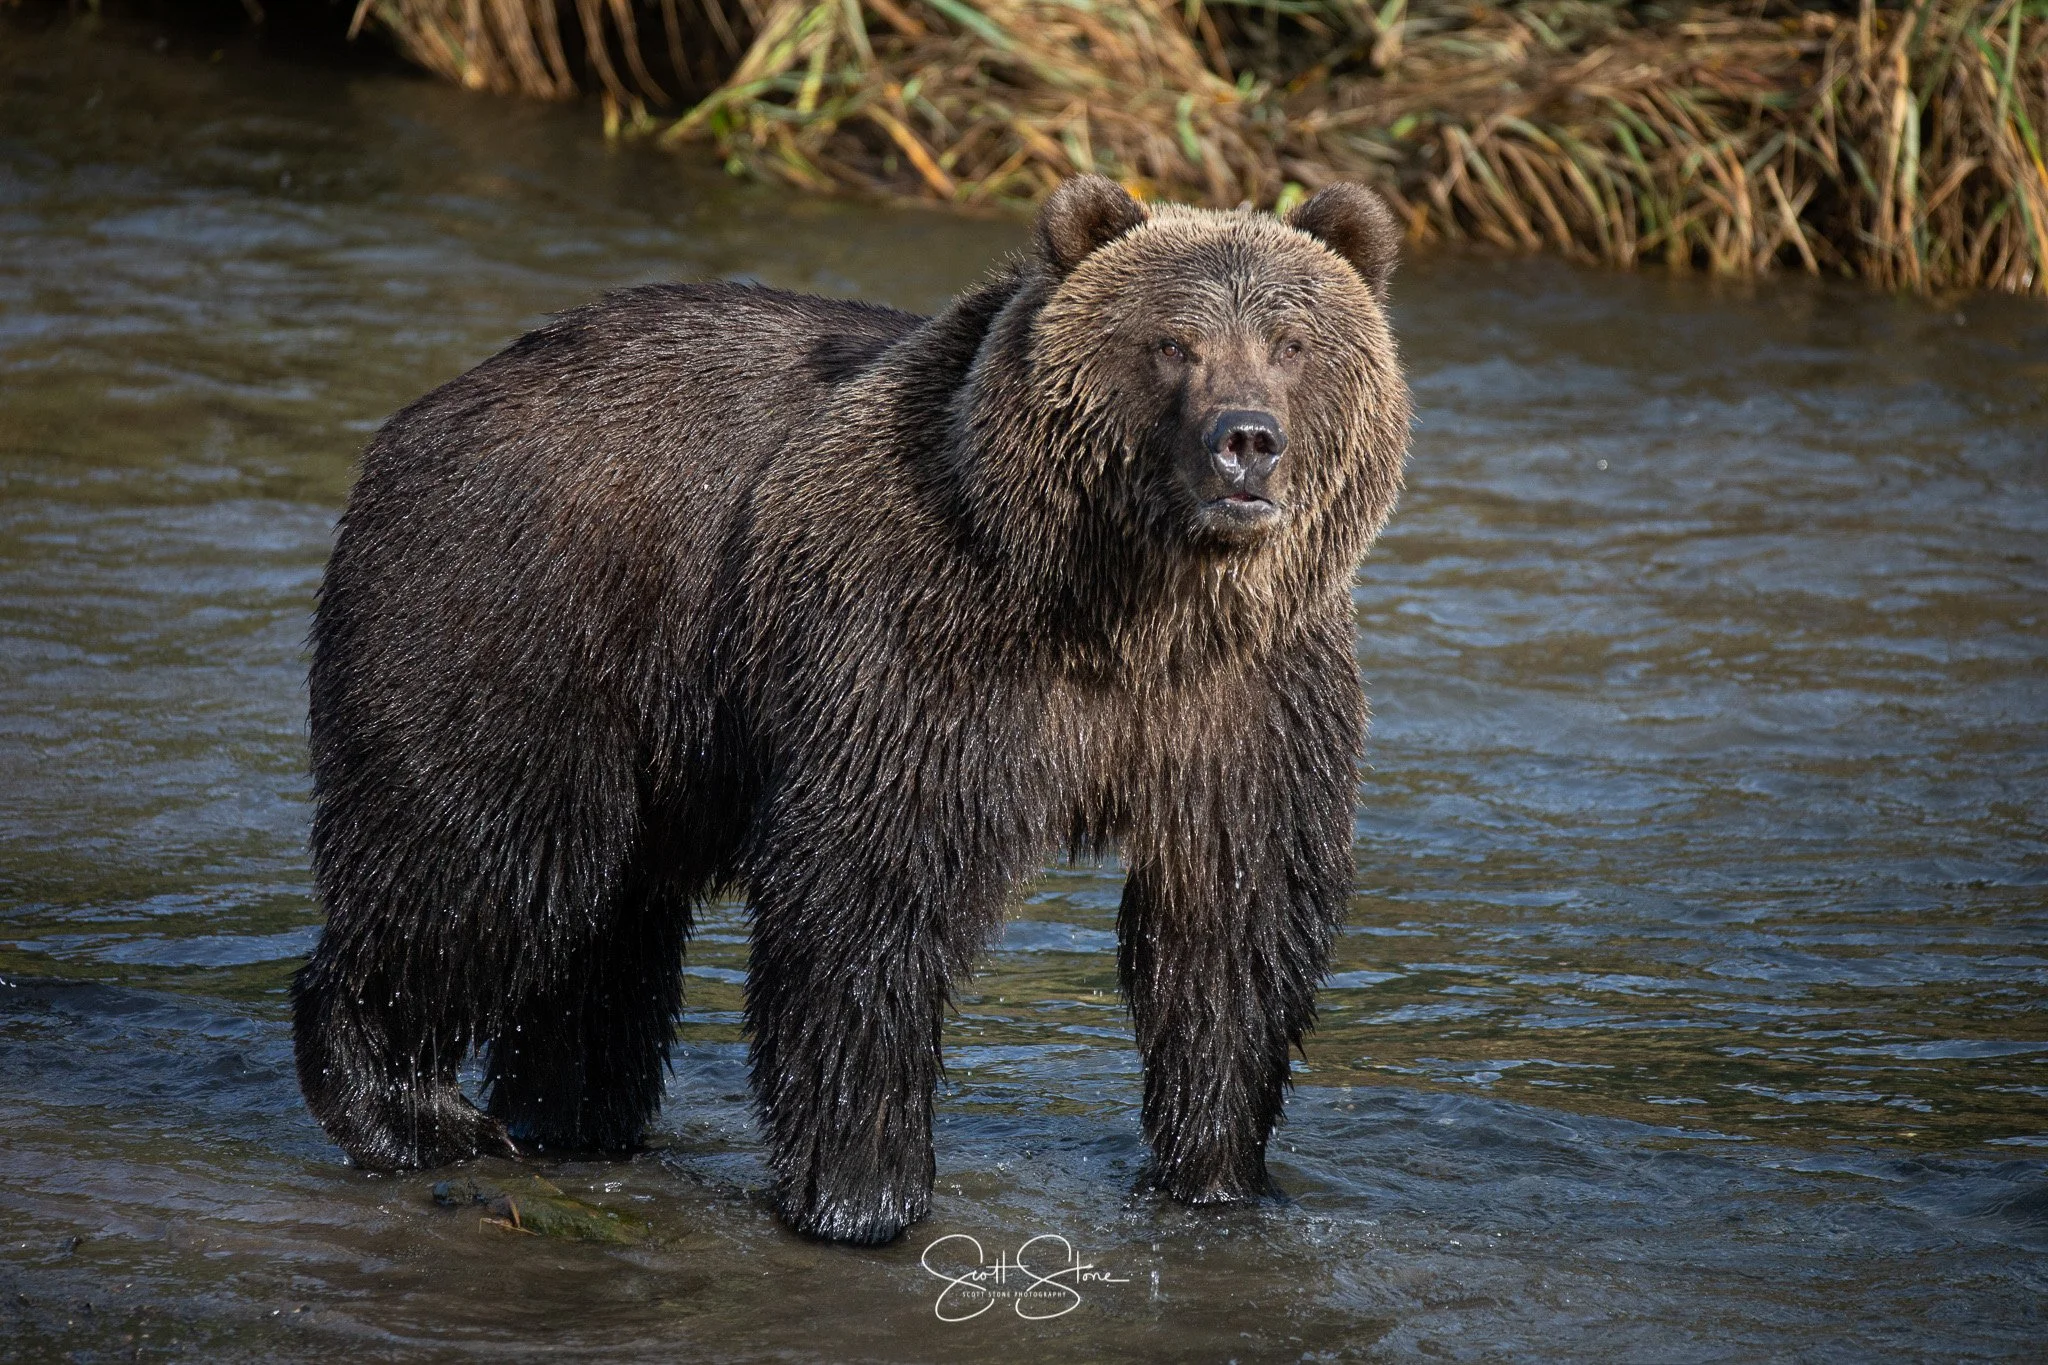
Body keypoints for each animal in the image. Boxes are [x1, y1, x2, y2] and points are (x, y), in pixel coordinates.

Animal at [292, 176, 1411, 1246]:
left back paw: (575, 1116)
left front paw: (1218, 1176)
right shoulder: (916, 644)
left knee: (603, 928)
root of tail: (432, 407)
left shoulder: (1245, 700)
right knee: (483, 867)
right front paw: (859, 1196)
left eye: (1293, 343)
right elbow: (868, 898)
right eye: (1171, 341)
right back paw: (404, 1110)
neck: (1127, 606)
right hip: (515, 619)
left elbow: (1230, 926)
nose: (1246, 441)